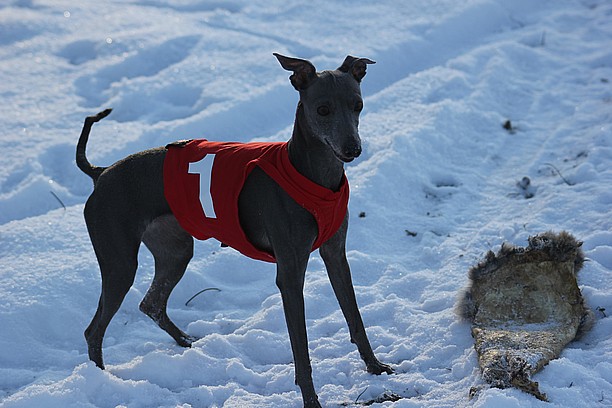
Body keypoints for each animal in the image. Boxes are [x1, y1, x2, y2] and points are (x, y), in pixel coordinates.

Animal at [77, 52, 392, 406]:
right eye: (323, 109)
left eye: (358, 105)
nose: (353, 149)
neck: (309, 172)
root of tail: (101, 173)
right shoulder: (290, 274)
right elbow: (301, 350)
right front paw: (311, 399)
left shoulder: (335, 256)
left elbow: (355, 318)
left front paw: (375, 367)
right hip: (119, 263)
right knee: (94, 330)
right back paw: (101, 382)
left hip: (175, 251)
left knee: (151, 303)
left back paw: (185, 341)